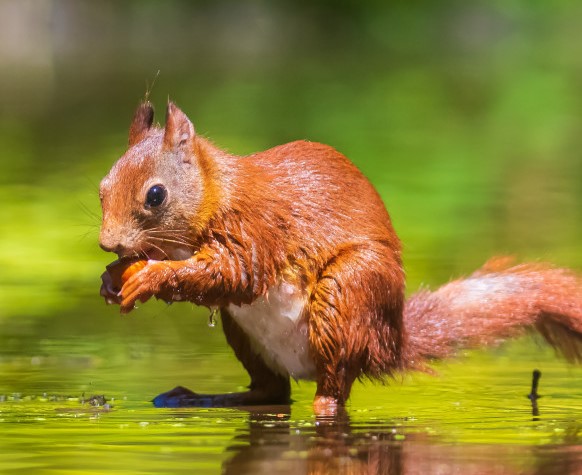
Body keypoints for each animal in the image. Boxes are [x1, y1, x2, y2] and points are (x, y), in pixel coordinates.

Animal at [100, 102, 582, 414]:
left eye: (156, 195)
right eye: (103, 187)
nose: (108, 243)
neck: (218, 192)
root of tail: (390, 340)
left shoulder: (255, 229)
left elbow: (235, 275)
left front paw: (146, 275)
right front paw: (112, 276)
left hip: (347, 292)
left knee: (332, 386)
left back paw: (320, 404)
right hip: (245, 335)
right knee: (271, 392)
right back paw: (200, 397)